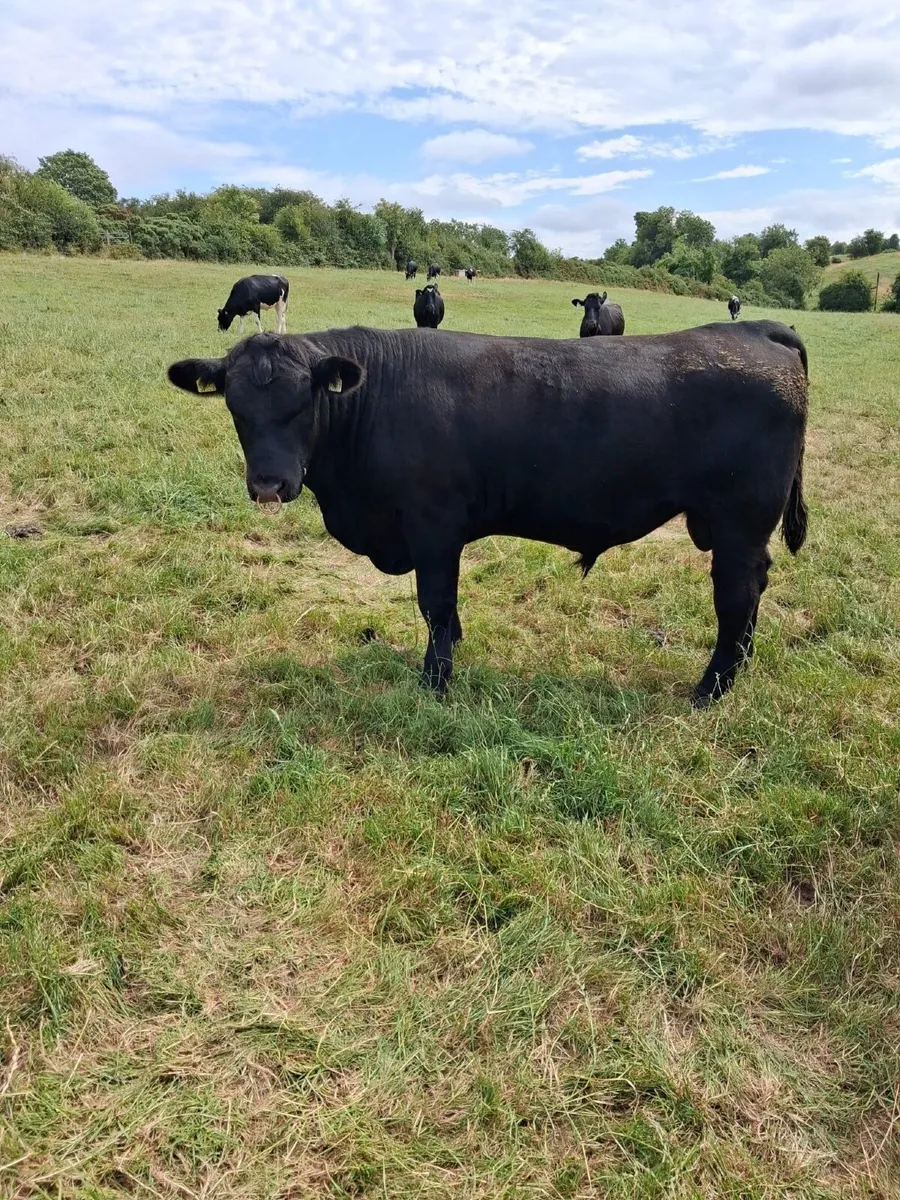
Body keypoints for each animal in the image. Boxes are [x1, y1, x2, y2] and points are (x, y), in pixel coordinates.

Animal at [168, 320, 808, 707]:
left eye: (305, 402)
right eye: (235, 407)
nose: (269, 485)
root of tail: (751, 328)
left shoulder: (432, 528)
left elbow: (435, 604)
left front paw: (435, 681)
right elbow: (446, 613)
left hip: (739, 524)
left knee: (737, 598)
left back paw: (711, 689)